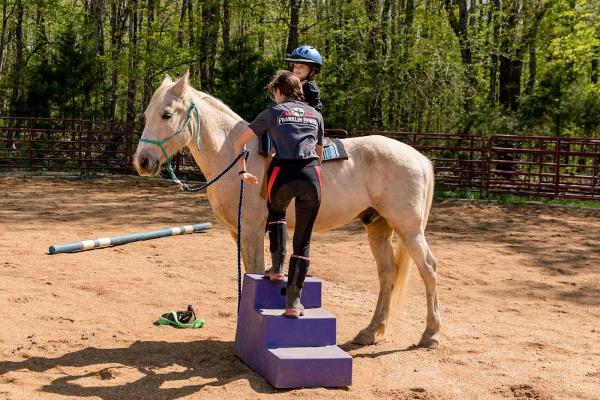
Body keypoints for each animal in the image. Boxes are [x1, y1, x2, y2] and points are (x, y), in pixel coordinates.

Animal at [135, 71, 440, 346]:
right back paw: (371, 331)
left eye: (166, 114)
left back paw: (430, 334)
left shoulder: (252, 230)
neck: (236, 155)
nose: (142, 162)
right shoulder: (238, 231)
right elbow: (248, 271)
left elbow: (254, 269)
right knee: (387, 273)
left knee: (428, 269)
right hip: (378, 227)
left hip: (409, 229)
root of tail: (418, 157)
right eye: (147, 114)